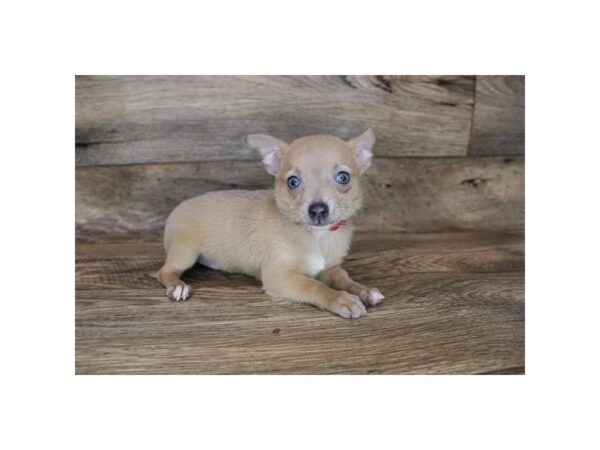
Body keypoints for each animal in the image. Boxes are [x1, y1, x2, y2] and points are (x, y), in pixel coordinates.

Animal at [152, 129, 382, 320]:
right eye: (292, 182)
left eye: (343, 178)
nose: (317, 210)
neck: (316, 235)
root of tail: (179, 207)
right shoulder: (279, 276)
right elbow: (313, 285)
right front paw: (340, 299)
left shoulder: (331, 268)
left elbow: (343, 279)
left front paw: (364, 290)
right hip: (185, 250)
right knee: (165, 271)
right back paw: (178, 287)